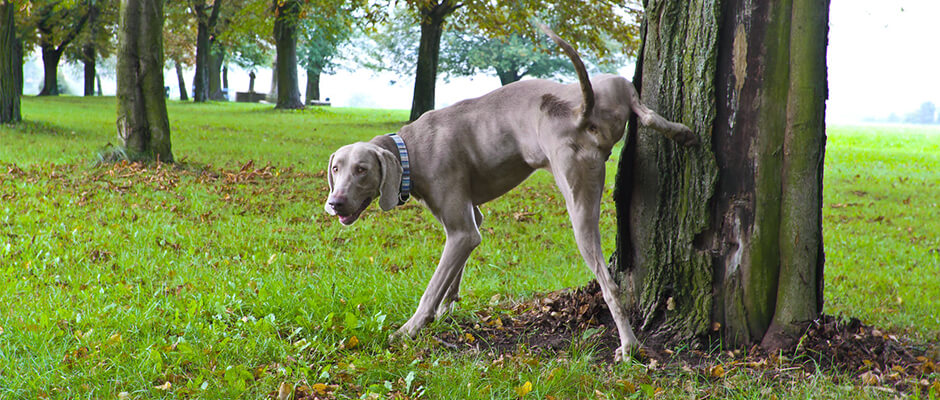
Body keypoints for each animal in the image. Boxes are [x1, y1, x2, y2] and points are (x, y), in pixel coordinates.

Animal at [324, 26, 696, 360]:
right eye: (336, 169)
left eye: (362, 169)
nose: (334, 203)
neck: (410, 150)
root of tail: (579, 112)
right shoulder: (469, 221)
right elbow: (453, 274)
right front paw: (446, 310)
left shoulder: (461, 230)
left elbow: (432, 288)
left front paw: (409, 330)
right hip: (610, 82)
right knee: (644, 111)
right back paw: (683, 133)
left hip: (577, 199)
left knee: (610, 284)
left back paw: (629, 346)